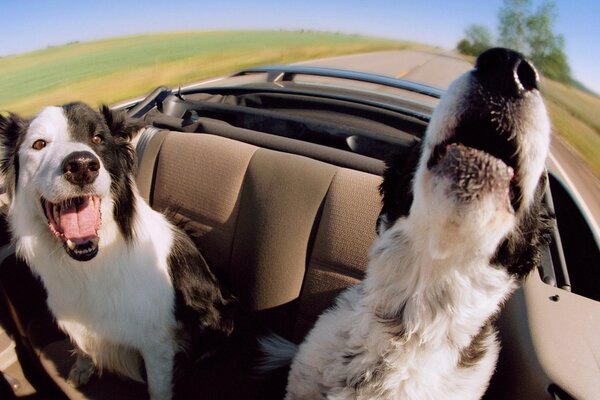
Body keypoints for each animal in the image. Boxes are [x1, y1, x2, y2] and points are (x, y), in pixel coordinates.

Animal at [0, 104, 236, 400]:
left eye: (98, 138)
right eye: (39, 144)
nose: (81, 166)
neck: (90, 263)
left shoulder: (157, 343)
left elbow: (158, 387)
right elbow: (82, 346)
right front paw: (82, 368)